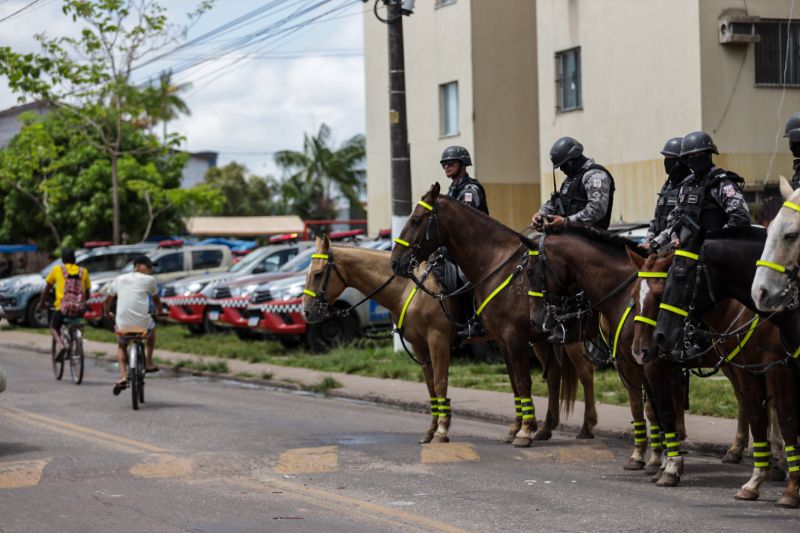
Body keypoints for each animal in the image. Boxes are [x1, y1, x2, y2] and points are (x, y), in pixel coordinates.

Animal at [302, 235, 456, 442]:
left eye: (318, 274)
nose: (306, 312)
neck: (409, 289)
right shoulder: (419, 345)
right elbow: (431, 385)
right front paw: (431, 430)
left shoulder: (438, 340)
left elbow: (440, 383)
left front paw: (442, 430)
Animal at [390, 183, 596, 444]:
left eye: (416, 219)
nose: (394, 262)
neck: (497, 264)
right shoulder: (503, 340)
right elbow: (515, 383)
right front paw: (518, 427)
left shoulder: (514, 338)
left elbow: (522, 381)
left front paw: (524, 431)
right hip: (542, 340)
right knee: (555, 374)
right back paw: (547, 427)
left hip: (573, 339)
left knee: (586, 372)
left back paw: (587, 426)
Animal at [520, 227, 748, 476]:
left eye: (530, 271)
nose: (535, 320)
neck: (625, 300)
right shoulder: (629, 364)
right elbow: (641, 409)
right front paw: (646, 456)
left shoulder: (651, 365)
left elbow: (656, 411)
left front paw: (664, 459)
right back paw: (737, 450)